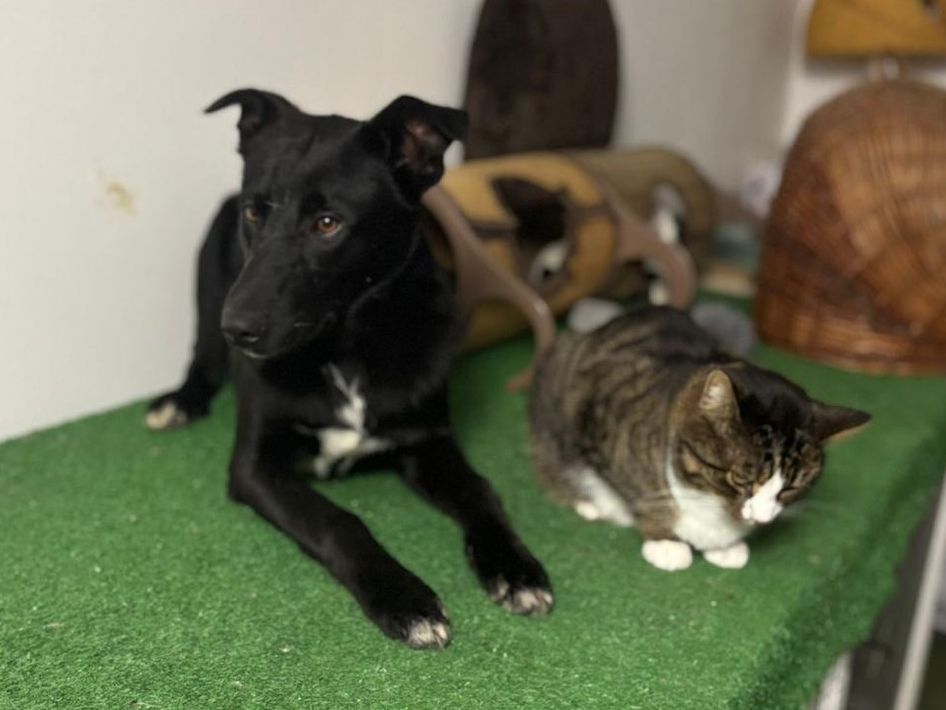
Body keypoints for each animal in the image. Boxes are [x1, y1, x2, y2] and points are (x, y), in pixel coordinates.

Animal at [146, 90, 553, 649]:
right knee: (201, 356)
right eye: (255, 213)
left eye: (327, 223)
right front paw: (405, 598)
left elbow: (480, 491)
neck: (346, 348)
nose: (239, 329)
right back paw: (180, 402)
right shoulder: (255, 466)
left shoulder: (428, 441)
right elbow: (338, 520)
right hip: (208, 270)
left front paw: (515, 568)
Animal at [528, 306, 870, 571]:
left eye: (792, 488)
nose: (760, 518)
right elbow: (637, 488)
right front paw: (664, 541)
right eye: (741, 479)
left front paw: (725, 547)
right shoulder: (600, 416)